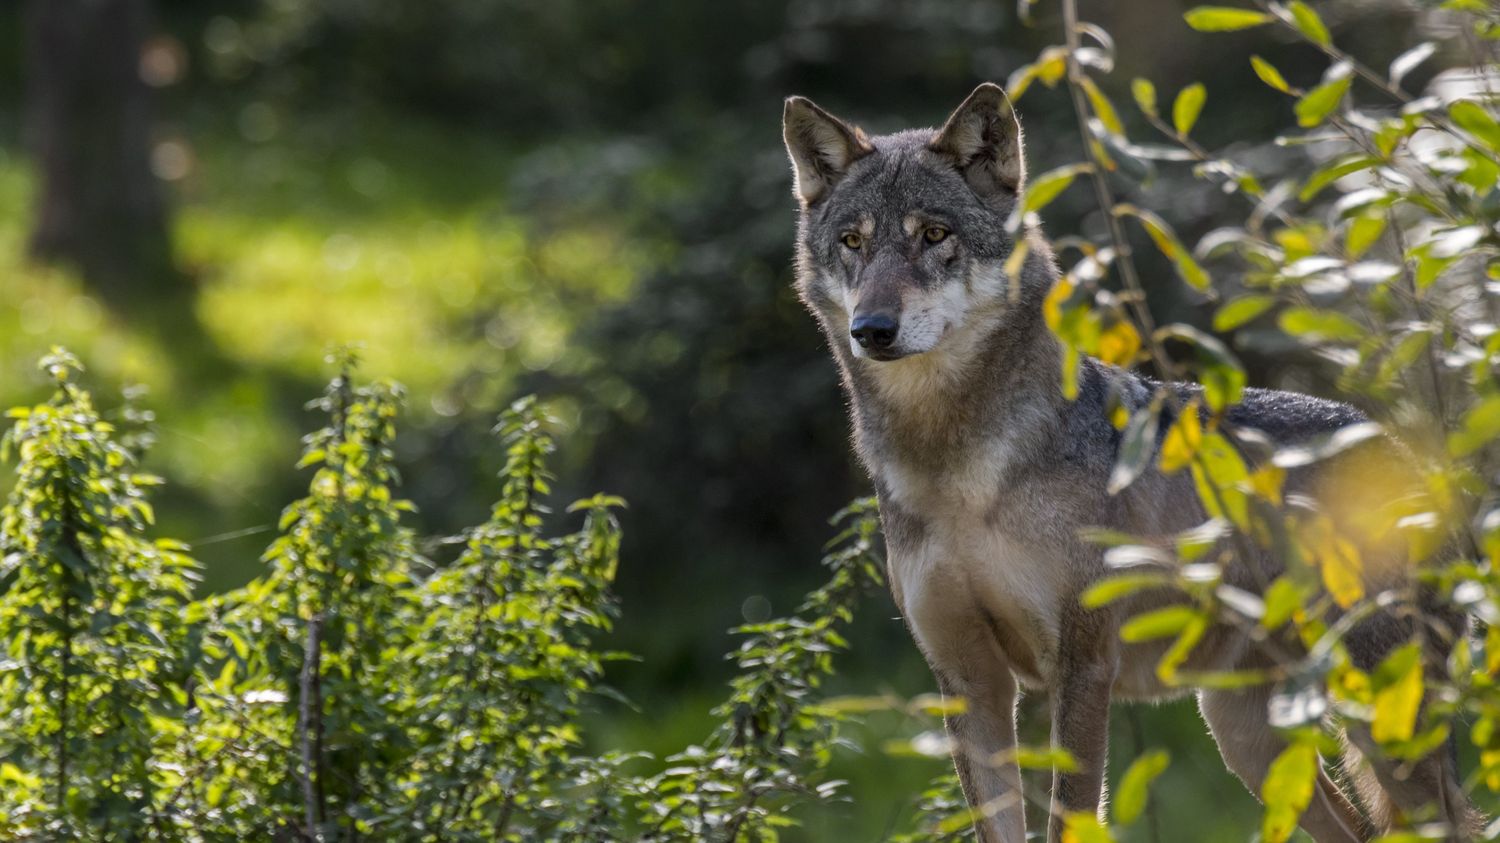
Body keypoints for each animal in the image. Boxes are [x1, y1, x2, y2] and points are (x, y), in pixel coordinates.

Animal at [786, 80, 1476, 840]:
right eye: (853, 242)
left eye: (933, 235)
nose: (872, 329)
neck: (954, 468)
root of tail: (1410, 457)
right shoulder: (969, 684)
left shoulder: (1083, 667)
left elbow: (1068, 817)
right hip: (1247, 740)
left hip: (1386, 736)